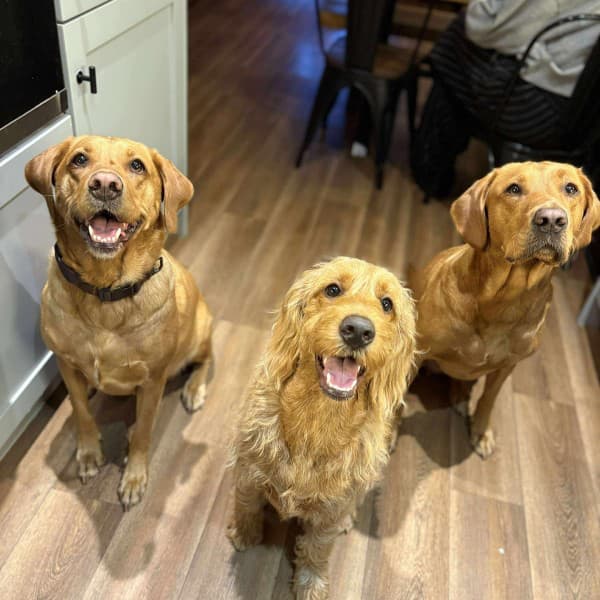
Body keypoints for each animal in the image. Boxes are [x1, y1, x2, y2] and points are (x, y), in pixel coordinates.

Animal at [24, 135, 213, 509]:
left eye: (137, 165)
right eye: (79, 159)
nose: (105, 184)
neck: (103, 293)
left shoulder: (152, 381)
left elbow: (143, 431)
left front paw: (134, 476)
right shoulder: (64, 362)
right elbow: (81, 411)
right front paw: (88, 453)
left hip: (201, 330)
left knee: (206, 359)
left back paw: (194, 389)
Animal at [227, 257, 416, 599]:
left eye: (387, 304)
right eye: (332, 289)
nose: (358, 331)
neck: (318, 418)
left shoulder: (330, 510)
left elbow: (317, 549)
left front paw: (310, 583)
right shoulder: (248, 472)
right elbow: (246, 505)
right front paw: (245, 536)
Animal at [411, 161, 600, 458]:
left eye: (571, 188)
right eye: (513, 189)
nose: (551, 219)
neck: (506, 298)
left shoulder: (506, 366)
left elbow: (489, 397)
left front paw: (480, 431)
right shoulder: (418, 352)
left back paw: (460, 398)